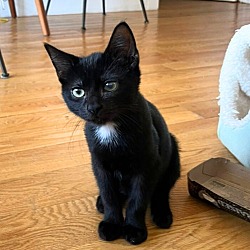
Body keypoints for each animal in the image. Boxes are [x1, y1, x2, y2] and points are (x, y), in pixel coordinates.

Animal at [44, 22, 180, 245]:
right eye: (77, 92)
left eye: (110, 85)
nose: (93, 107)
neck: (110, 129)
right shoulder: (99, 163)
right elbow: (109, 194)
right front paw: (111, 223)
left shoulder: (147, 165)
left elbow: (139, 199)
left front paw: (134, 228)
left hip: (172, 154)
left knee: (161, 189)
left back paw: (162, 214)